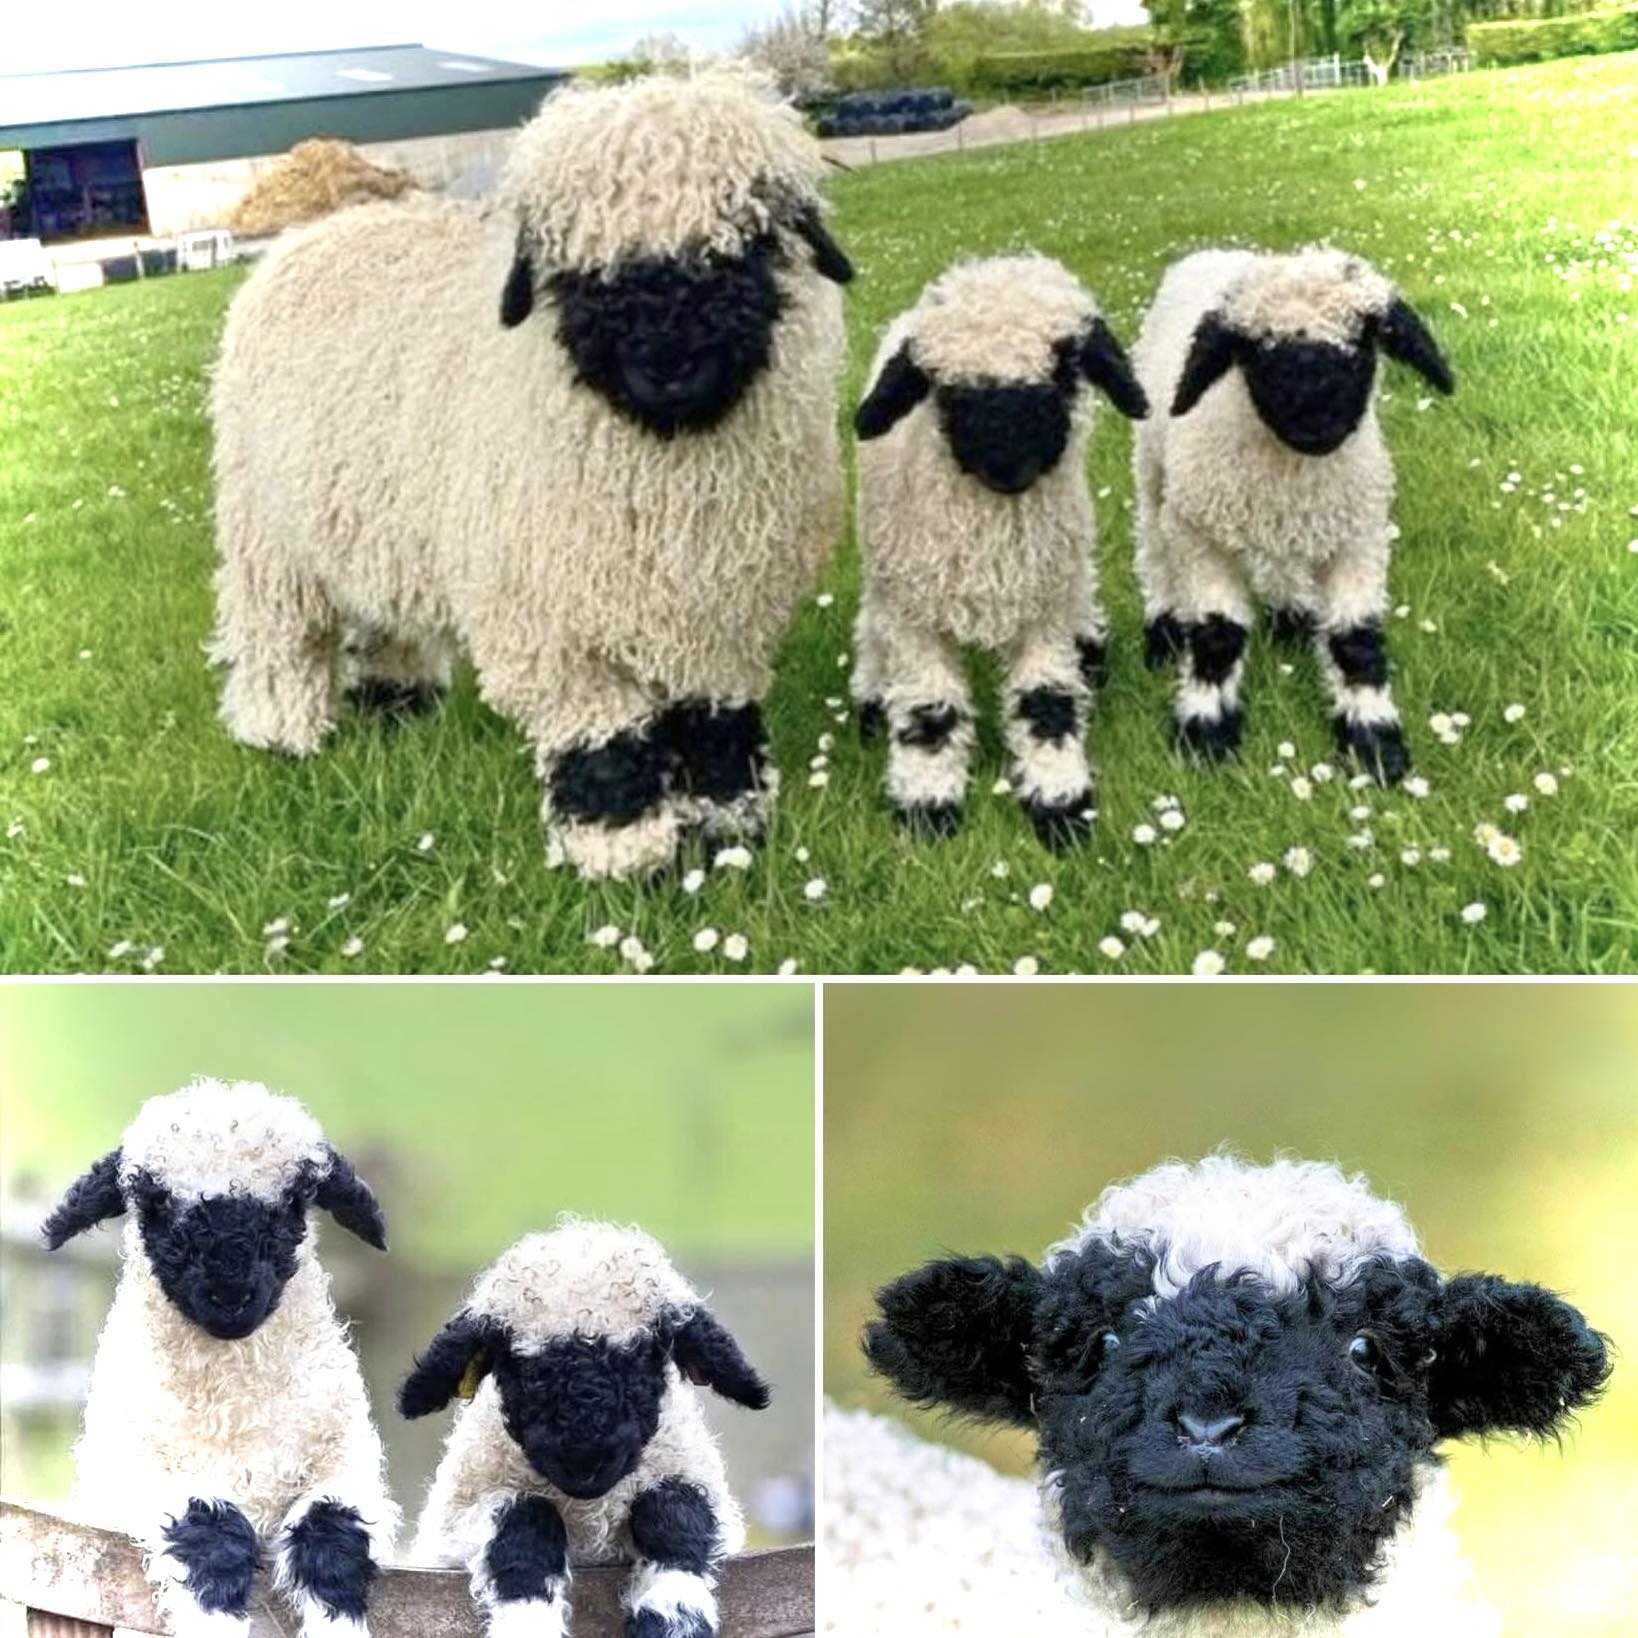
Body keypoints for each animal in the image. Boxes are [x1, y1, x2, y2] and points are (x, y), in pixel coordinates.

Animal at [42, 1077, 398, 1638]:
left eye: (293, 1201)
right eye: (156, 1203)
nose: (230, 1295)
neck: (232, 1410)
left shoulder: (345, 1457)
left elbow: (333, 1533)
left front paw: (337, 1622)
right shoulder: (130, 1469)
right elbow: (209, 1531)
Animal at [209, 70, 854, 881]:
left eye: (747, 243)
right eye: (579, 272)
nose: (669, 366)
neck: (667, 483)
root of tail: (316, 230)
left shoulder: (720, 615)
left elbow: (718, 727)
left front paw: (732, 829)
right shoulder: (553, 627)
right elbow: (606, 745)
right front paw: (626, 857)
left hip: (370, 518)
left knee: (385, 616)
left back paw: (396, 704)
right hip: (266, 534)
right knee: (280, 633)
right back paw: (281, 735)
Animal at [399, 1219, 771, 1638]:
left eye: (643, 1356)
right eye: (522, 1368)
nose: (584, 1462)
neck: (589, 1514)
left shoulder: (695, 1482)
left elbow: (674, 1509)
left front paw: (674, 1617)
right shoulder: (451, 1527)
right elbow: (523, 1521)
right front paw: (527, 1621)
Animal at [850, 254, 1149, 846]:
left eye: (1064, 370)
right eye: (945, 390)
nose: (1008, 468)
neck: (991, 541)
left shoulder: (1045, 610)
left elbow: (1046, 702)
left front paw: (1061, 800)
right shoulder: (916, 618)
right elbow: (929, 711)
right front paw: (927, 803)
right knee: (871, 625)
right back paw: (871, 696)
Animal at [1131, 248, 1455, 784]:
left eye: (1362, 342)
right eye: (1258, 351)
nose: (1316, 426)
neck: (1292, 468)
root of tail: (1216, 250)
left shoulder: (1357, 535)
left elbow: (1356, 639)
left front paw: (1375, 740)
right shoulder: (1200, 534)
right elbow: (1217, 635)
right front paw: (1204, 732)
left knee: (1281, 559)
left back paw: (1291, 617)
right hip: (1154, 472)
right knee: (1154, 544)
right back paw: (1164, 628)